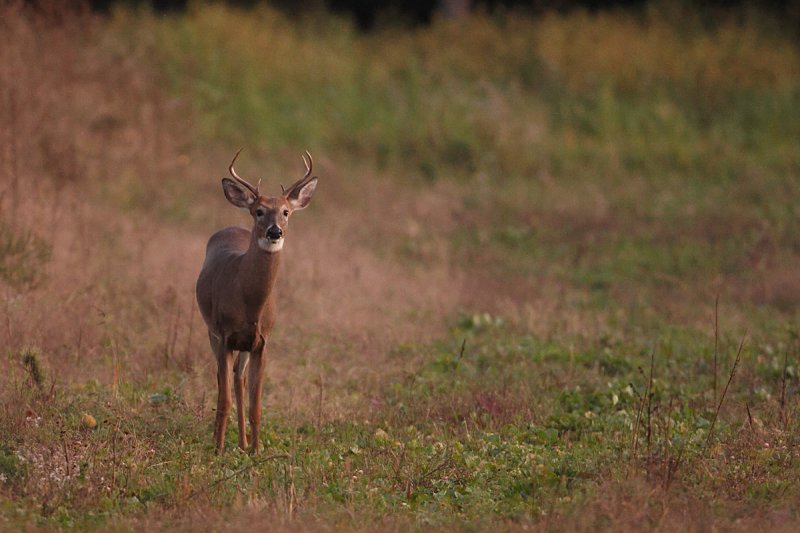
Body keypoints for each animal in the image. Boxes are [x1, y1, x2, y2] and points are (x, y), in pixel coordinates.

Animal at [195, 150, 318, 454]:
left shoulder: (262, 342)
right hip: (211, 332)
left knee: (238, 379)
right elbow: (224, 398)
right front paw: (217, 450)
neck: (249, 304)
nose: (275, 232)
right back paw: (223, 441)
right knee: (223, 381)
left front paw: (255, 450)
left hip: (244, 346)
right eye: (259, 211)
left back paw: (242, 443)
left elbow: (256, 404)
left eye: (286, 212)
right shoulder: (225, 335)